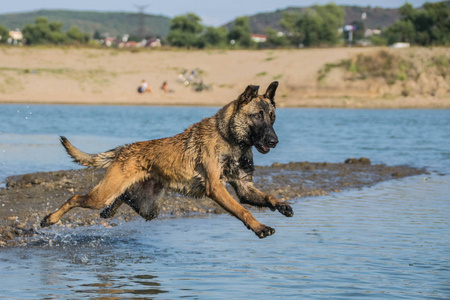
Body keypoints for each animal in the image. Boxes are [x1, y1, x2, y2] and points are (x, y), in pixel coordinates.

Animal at [42, 81, 294, 239]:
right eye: (257, 116)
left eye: (272, 117)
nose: (274, 141)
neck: (230, 138)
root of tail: (124, 149)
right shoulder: (216, 188)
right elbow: (243, 211)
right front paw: (259, 227)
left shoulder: (244, 187)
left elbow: (267, 197)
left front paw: (281, 205)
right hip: (102, 194)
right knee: (75, 198)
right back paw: (50, 219)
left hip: (147, 208)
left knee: (123, 198)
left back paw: (108, 212)